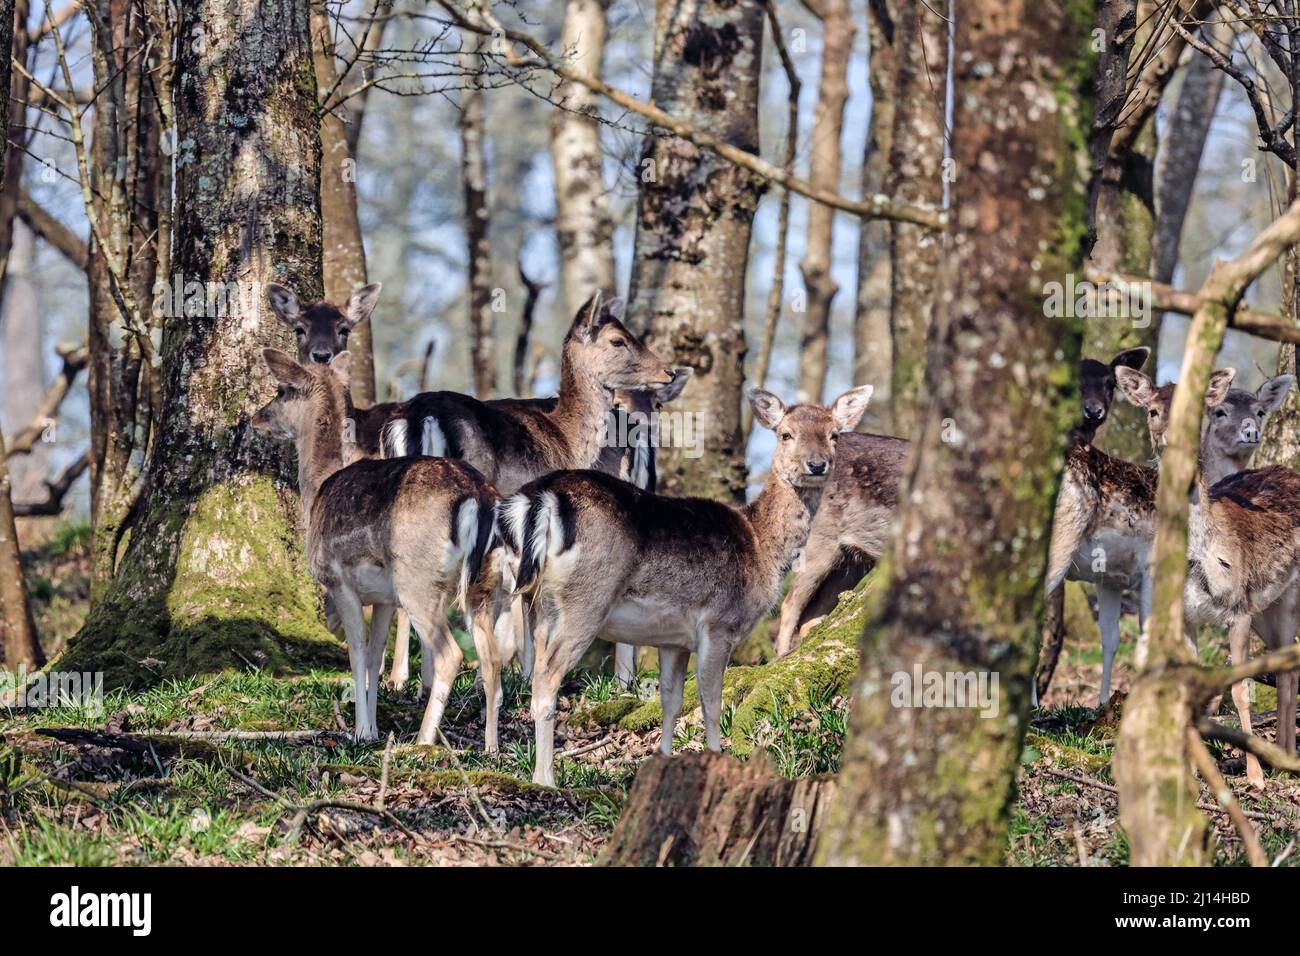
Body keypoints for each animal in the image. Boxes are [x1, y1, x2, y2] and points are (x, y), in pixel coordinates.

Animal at [250, 348, 504, 749]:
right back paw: (491, 748)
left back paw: (422, 741)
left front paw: (361, 730)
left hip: (418, 580)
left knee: (451, 654)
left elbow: (356, 653)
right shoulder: (383, 597)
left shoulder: (338, 580)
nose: (255, 417)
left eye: (281, 390)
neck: (317, 491)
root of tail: (478, 497)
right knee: (491, 658)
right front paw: (370, 726)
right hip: (484, 582)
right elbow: (374, 656)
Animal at [496, 385, 873, 790]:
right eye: (785, 434)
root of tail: (540, 499)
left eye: (834, 435)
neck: (761, 547)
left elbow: (671, 700)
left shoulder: (673, 639)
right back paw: (545, 778)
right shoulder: (719, 623)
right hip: (586, 598)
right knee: (546, 681)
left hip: (534, 601)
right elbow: (711, 701)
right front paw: (716, 758)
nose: (817, 465)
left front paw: (662, 761)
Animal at [1118, 366, 1300, 785]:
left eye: (1201, 409)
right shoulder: (1184, 616)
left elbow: (1240, 689)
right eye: (1152, 410)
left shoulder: (1240, 609)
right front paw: (1185, 769)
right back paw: (1282, 754)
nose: (1171, 439)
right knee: (1283, 662)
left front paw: (1254, 776)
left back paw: (1280, 759)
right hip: (1270, 608)